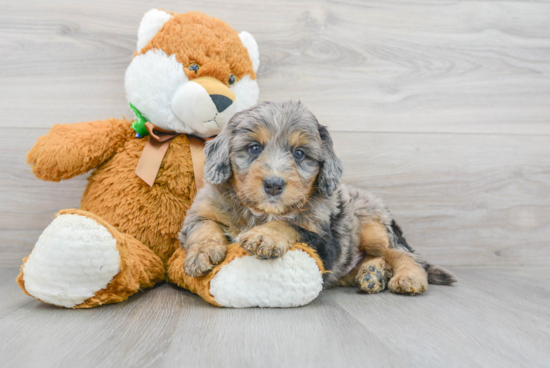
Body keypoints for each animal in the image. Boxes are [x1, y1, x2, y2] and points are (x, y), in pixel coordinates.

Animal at [180, 100, 458, 296]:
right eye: (254, 148)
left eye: (300, 153)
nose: (274, 184)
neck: (260, 212)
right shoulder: (201, 211)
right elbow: (204, 226)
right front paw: (202, 253)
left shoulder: (324, 239)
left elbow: (290, 224)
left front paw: (265, 236)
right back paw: (373, 273)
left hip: (374, 227)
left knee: (403, 254)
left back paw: (407, 277)